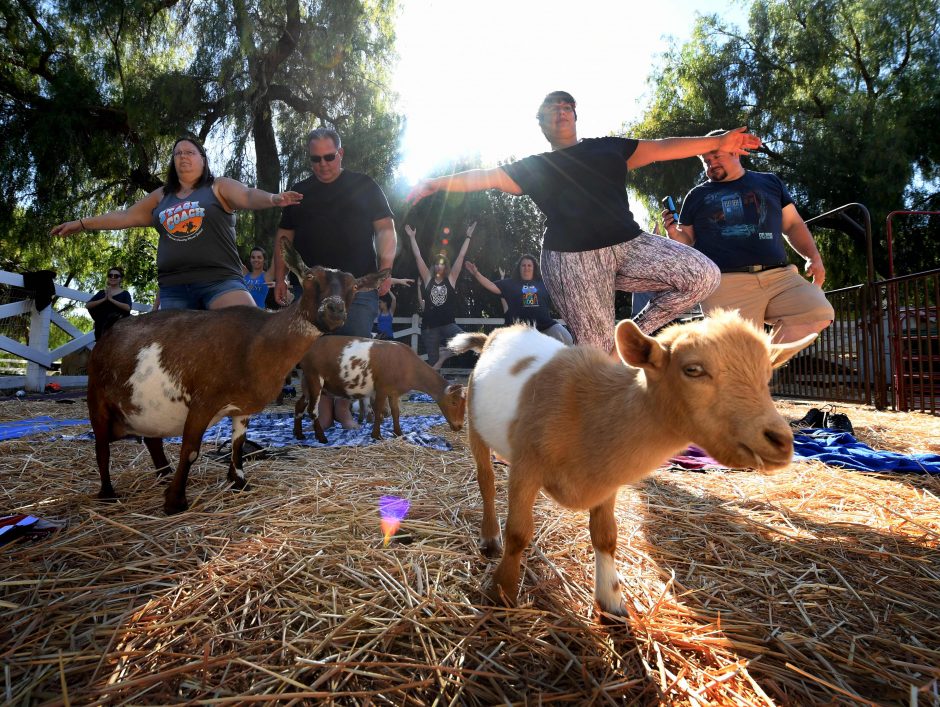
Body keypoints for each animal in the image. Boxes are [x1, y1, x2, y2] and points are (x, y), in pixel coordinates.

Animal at [84, 245, 386, 516]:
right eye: (310, 277)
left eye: (354, 287)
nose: (334, 310)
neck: (257, 342)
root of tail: (109, 334)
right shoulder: (202, 402)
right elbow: (190, 451)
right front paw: (175, 502)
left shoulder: (242, 408)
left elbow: (238, 444)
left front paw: (238, 482)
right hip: (97, 398)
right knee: (101, 446)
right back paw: (108, 493)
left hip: (144, 411)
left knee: (152, 441)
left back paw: (163, 474)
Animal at [294, 336, 466, 442]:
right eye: (454, 402)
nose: (459, 427)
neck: (408, 366)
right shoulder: (382, 388)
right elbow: (378, 411)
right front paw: (376, 436)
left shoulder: (394, 391)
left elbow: (396, 412)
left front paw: (399, 433)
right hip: (314, 377)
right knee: (312, 410)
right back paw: (321, 438)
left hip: (306, 382)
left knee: (299, 405)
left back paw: (299, 434)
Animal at [450, 312, 816, 616]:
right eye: (693, 369)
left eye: (767, 375)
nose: (781, 441)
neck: (589, 411)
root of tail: (497, 334)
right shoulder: (527, 466)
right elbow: (518, 532)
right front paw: (501, 592)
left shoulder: (607, 483)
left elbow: (606, 536)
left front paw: (611, 600)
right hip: (474, 426)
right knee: (485, 481)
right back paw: (489, 538)